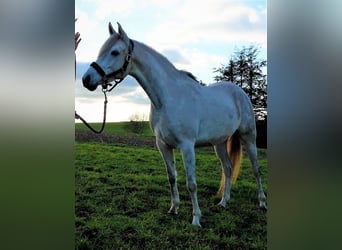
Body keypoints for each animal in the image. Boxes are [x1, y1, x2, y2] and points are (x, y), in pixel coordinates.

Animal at [81, 23, 266, 227]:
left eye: (114, 52)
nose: (86, 79)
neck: (167, 98)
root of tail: (239, 92)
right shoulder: (163, 145)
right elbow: (172, 177)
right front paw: (174, 208)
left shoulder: (187, 146)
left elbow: (191, 184)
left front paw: (196, 219)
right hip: (219, 143)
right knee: (227, 168)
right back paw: (223, 202)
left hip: (248, 137)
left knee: (256, 170)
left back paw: (262, 203)